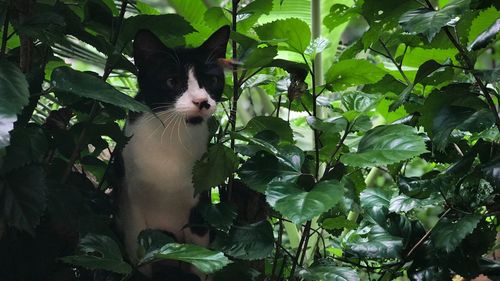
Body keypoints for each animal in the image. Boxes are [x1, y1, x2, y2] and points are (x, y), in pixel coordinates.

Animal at [115, 26, 230, 278]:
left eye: (212, 80)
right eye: (172, 81)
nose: (202, 101)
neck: (171, 136)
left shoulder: (198, 208)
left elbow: (200, 260)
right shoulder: (131, 204)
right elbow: (139, 257)